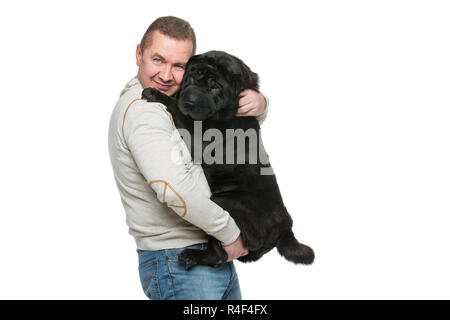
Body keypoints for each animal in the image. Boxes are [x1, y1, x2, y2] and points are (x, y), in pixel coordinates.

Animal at [142, 50, 314, 270]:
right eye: (192, 76)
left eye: (215, 86)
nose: (189, 102)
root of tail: (285, 226)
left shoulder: (200, 141)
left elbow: (178, 111)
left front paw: (156, 94)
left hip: (223, 202)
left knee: (221, 253)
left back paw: (190, 256)